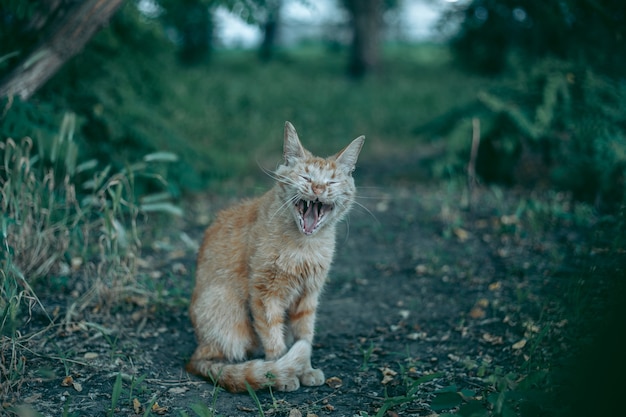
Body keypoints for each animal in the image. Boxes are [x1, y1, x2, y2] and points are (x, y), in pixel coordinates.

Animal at [185, 120, 364, 390]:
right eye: (306, 177)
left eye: (331, 183)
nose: (317, 188)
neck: (304, 246)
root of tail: (196, 352)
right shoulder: (264, 294)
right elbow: (273, 338)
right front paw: (280, 373)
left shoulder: (308, 295)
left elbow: (304, 335)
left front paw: (305, 369)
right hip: (225, 308)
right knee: (222, 358)